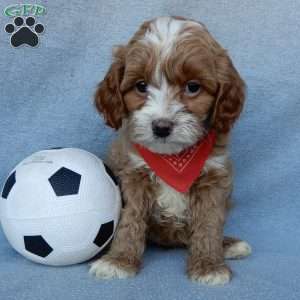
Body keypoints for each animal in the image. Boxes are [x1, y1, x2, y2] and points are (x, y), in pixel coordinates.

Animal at [89, 17, 251, 286]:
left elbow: (208, 224)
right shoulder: (133, 175)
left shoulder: (214, 180)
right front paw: (119, 261)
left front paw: (209, 265)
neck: (173, 157)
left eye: (193, 87)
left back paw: (228, 245)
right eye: (141, 86)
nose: (161, 127)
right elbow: (130, 220)